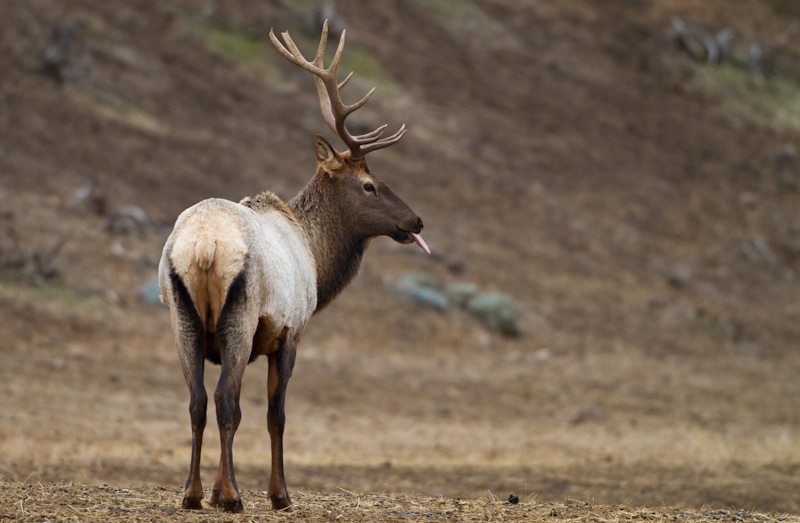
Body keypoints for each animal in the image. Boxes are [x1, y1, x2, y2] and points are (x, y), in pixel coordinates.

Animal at [158, 21, 432, 516]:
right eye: (369, 184)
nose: (416, 221)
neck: (316, 258)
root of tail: (204, 246)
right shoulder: (290, 333)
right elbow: (276, 415)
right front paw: (278, 494)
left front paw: (219, 491)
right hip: (240, 319)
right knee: (225, 399)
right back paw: (231, 495)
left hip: (181, 319)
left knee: (196, 400)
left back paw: (192, 493)